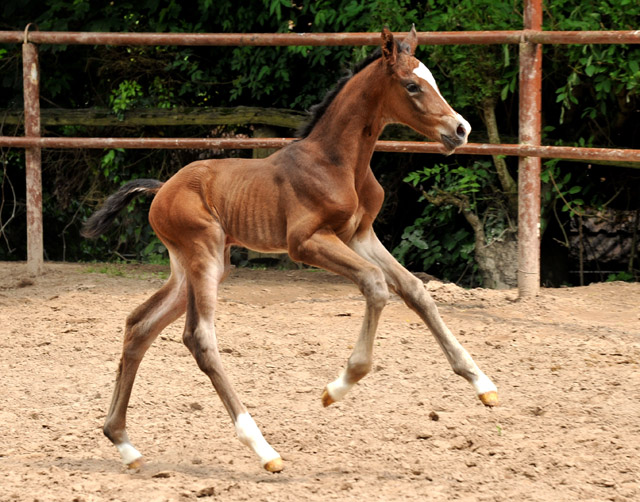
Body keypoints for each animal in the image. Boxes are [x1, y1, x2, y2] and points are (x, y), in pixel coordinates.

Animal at [82, 27, 498, 474]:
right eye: (412, 85)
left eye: (431, 80)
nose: (461, 129)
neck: (338, 162)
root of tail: (162, 190)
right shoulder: (306, 243)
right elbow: (375, 285)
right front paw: (336, 388)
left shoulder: (361, 235)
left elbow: (415, 290)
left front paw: (483, 384)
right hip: (203, 256)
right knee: (199, 338)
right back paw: (264, 450)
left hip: (194, 266)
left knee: (139, 325)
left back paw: (124, 443)